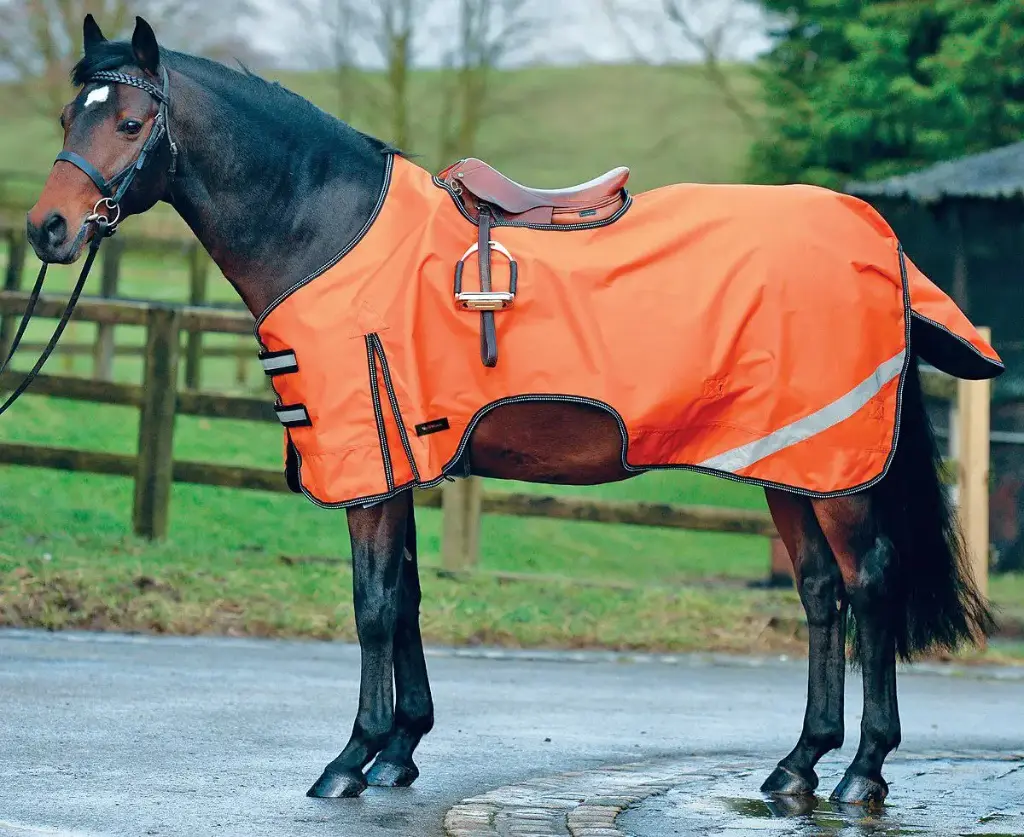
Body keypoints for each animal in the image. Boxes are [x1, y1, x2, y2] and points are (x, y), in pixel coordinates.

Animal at [23, 15, 999, 806]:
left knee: (870, 587)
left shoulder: (369, 467)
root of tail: (878, 239)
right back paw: (799, 764)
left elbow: (372, 602)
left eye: (131, 122)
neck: (327, 231)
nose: (47, 230)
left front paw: (351, 758)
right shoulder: (404, 459)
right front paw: (400, 749)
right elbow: (407, 595)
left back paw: (864, 769)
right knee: (822, 594)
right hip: (787, 464)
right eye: (69, 117)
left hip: (837, 474)